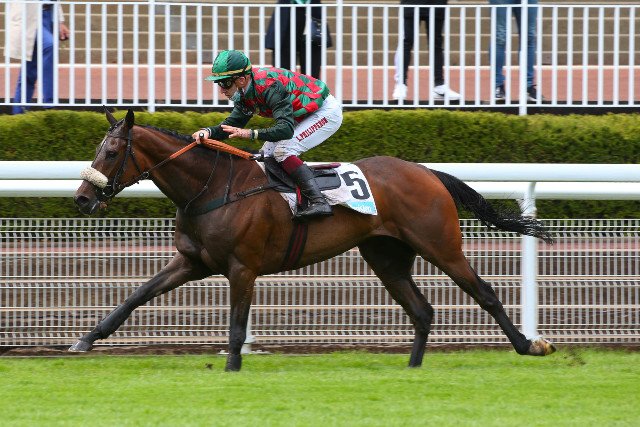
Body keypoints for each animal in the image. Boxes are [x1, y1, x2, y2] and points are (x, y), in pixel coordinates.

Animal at [70, 109, 556, 371]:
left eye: (111, 152)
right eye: (97, 149)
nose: (81, 199)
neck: (211, 187)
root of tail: (426, 172)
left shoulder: (242, 268)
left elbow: (237, 325)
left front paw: (231, 366)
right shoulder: (193, 262)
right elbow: (135, 296)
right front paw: (86, 340)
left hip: (440, 245)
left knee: (485, 292)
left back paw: (530, 344)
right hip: (386, 256)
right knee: (421, 309)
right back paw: (412, 367)